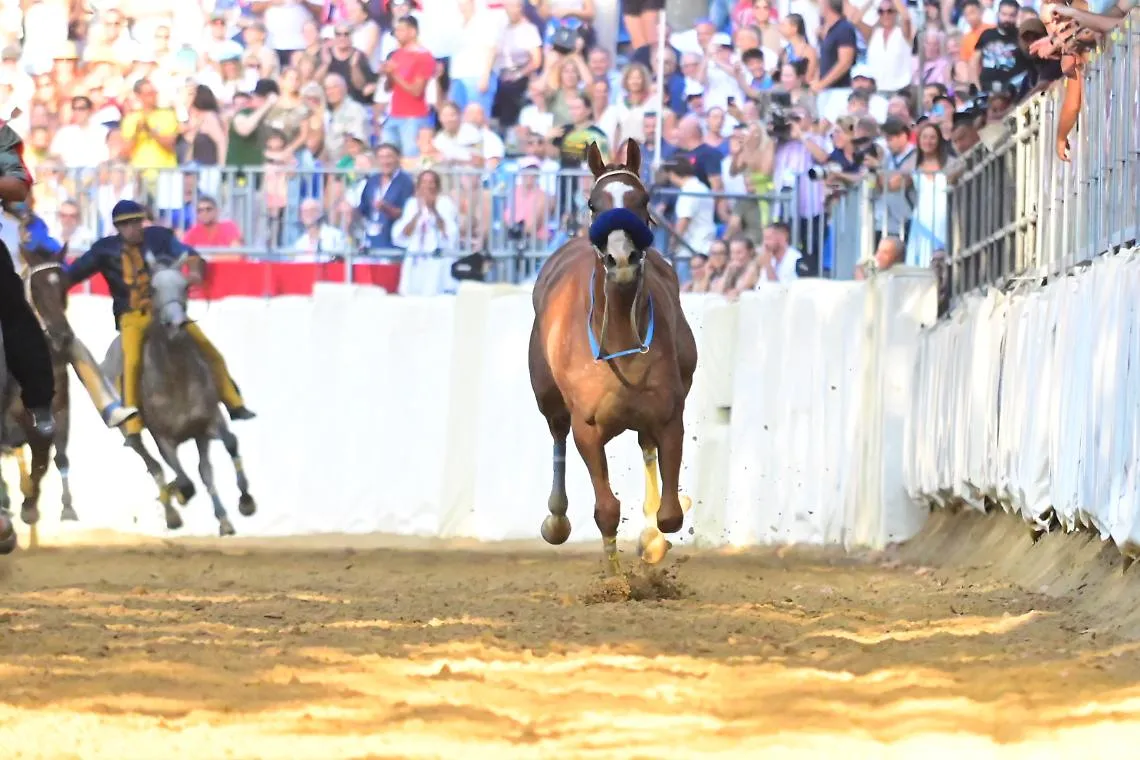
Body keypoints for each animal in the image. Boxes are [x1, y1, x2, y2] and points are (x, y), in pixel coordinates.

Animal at [101, 252, 256, 536]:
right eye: (152, 289)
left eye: (185, 286)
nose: (177, 324)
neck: (176, 379)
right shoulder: (164, 439)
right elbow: (181, 477)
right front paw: (179, 494)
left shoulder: (207, 422)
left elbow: (228, 445)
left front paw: (246, 501)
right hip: (133, 436)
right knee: (154, 467)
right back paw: (172, 513)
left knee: (204, 470)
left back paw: (223, 518)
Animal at [528, 138, 698, 576]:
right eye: (593, 203)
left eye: (643, 199)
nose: (621, 259)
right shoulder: (587, 426)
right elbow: (605, 509)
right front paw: (616, 580)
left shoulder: (668, 413)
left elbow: (670, 514)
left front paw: (653, 539)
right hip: (548, 397)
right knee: (557, 434)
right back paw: (556, 520)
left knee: (646, 449)